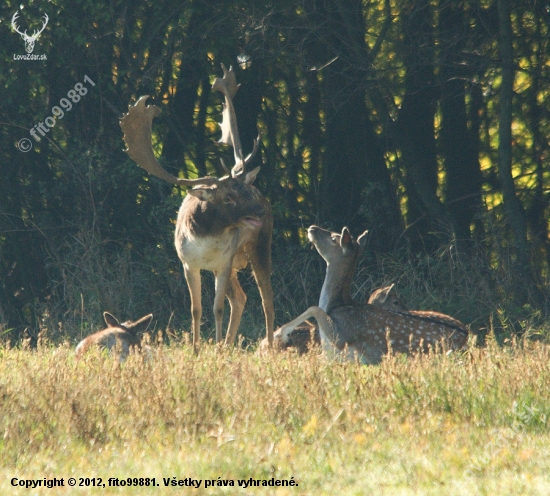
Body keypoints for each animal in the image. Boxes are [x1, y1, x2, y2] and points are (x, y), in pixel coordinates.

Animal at [121, 66, 276, 350]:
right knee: (241, 297)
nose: (259, 211)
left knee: (265, 298)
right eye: (227, 198)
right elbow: (196, 309)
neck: (206, 246)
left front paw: (212, 346)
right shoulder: (187, 263)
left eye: (244, 191)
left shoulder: (223, 263)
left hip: (259, 244)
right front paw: (196, 348)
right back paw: (228, 345)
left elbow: (217, 308)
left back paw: (267, 346)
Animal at [278, 227, 468, 362]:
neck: (335, 304)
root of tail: (469, 340)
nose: (312, 228)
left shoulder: (342, 335)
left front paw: (281, 333)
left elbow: (314, 308)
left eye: (334, 238)